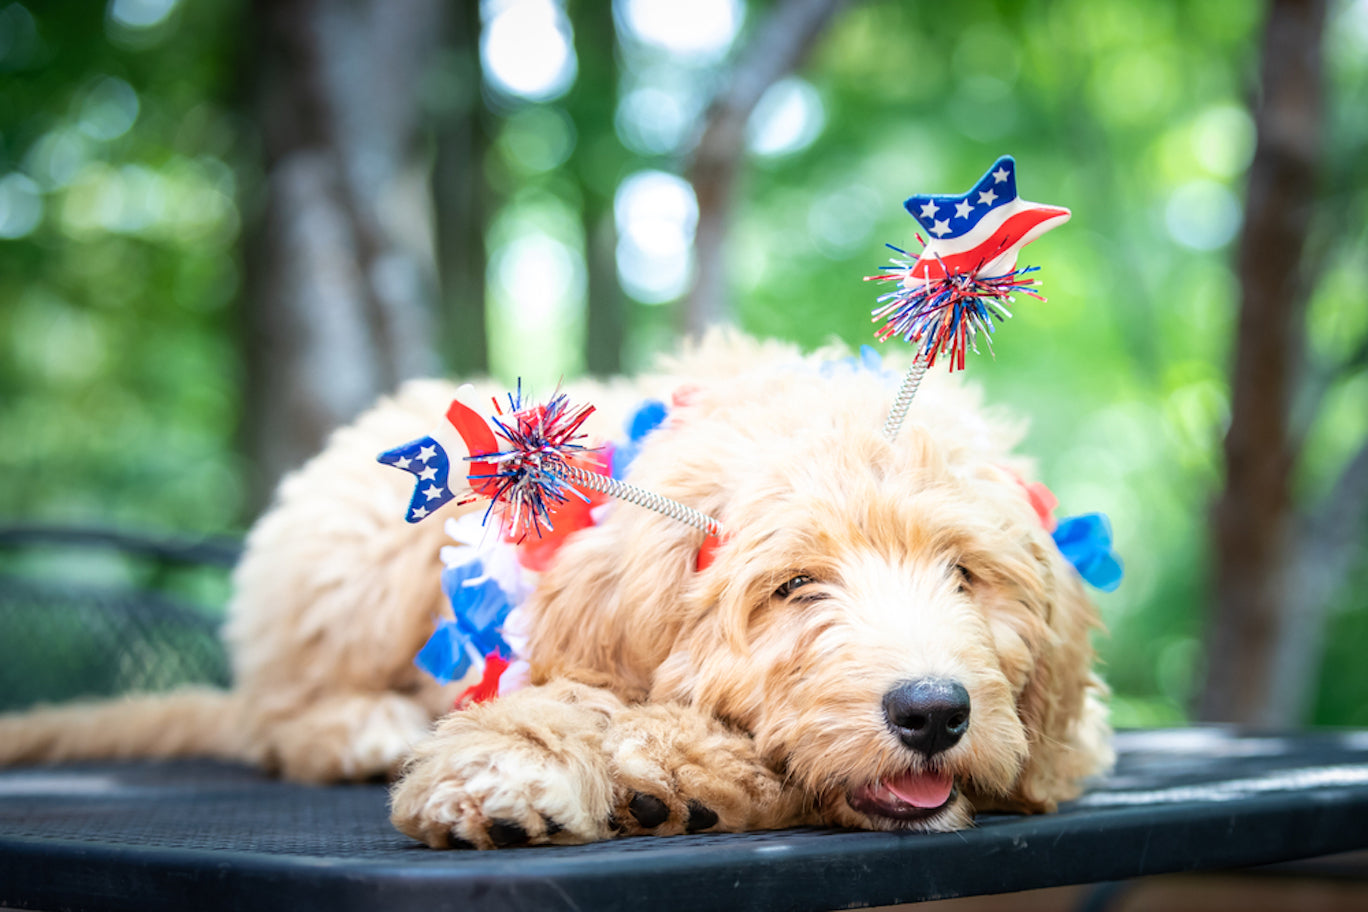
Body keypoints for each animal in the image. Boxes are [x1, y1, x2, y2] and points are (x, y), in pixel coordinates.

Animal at [0, 334, 1110, 847]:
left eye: (964, 574)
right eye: (795, 586)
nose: (933, 711)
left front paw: (686, 772)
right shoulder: (541, 645)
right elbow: (557, 701)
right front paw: (510, 775)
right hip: (358, 553)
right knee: (274, 710)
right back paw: (356, 727)